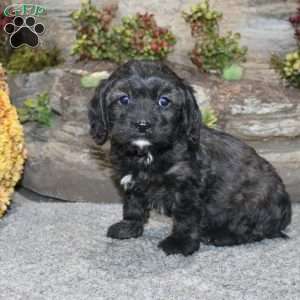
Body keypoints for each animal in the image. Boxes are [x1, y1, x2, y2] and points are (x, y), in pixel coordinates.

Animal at [88, 60, 292, 255]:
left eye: (164, 101)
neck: (148, 154)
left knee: (254, 230)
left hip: (255, 199)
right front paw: (129, 227)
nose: (142, 124)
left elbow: (185, 217)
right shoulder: (131, 181)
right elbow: (133, 205)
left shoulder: (186, 188)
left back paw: (219, 235)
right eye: (124, 99)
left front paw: (180, 243)